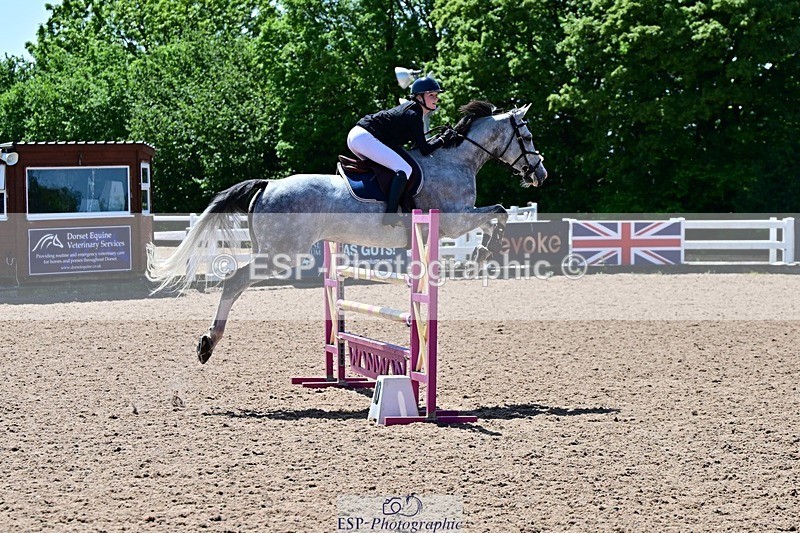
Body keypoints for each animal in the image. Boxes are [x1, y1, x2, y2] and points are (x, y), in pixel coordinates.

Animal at [147, 100, 547, 363]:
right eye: (527, 136)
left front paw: (483, 251)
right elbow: (499, 213)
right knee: (233, 282)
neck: (456, 160)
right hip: (279, 254)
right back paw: (208, 343)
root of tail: (267, 185)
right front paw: (485, 251)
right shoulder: (454, 220)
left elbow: (497, 214)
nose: (540, 174)